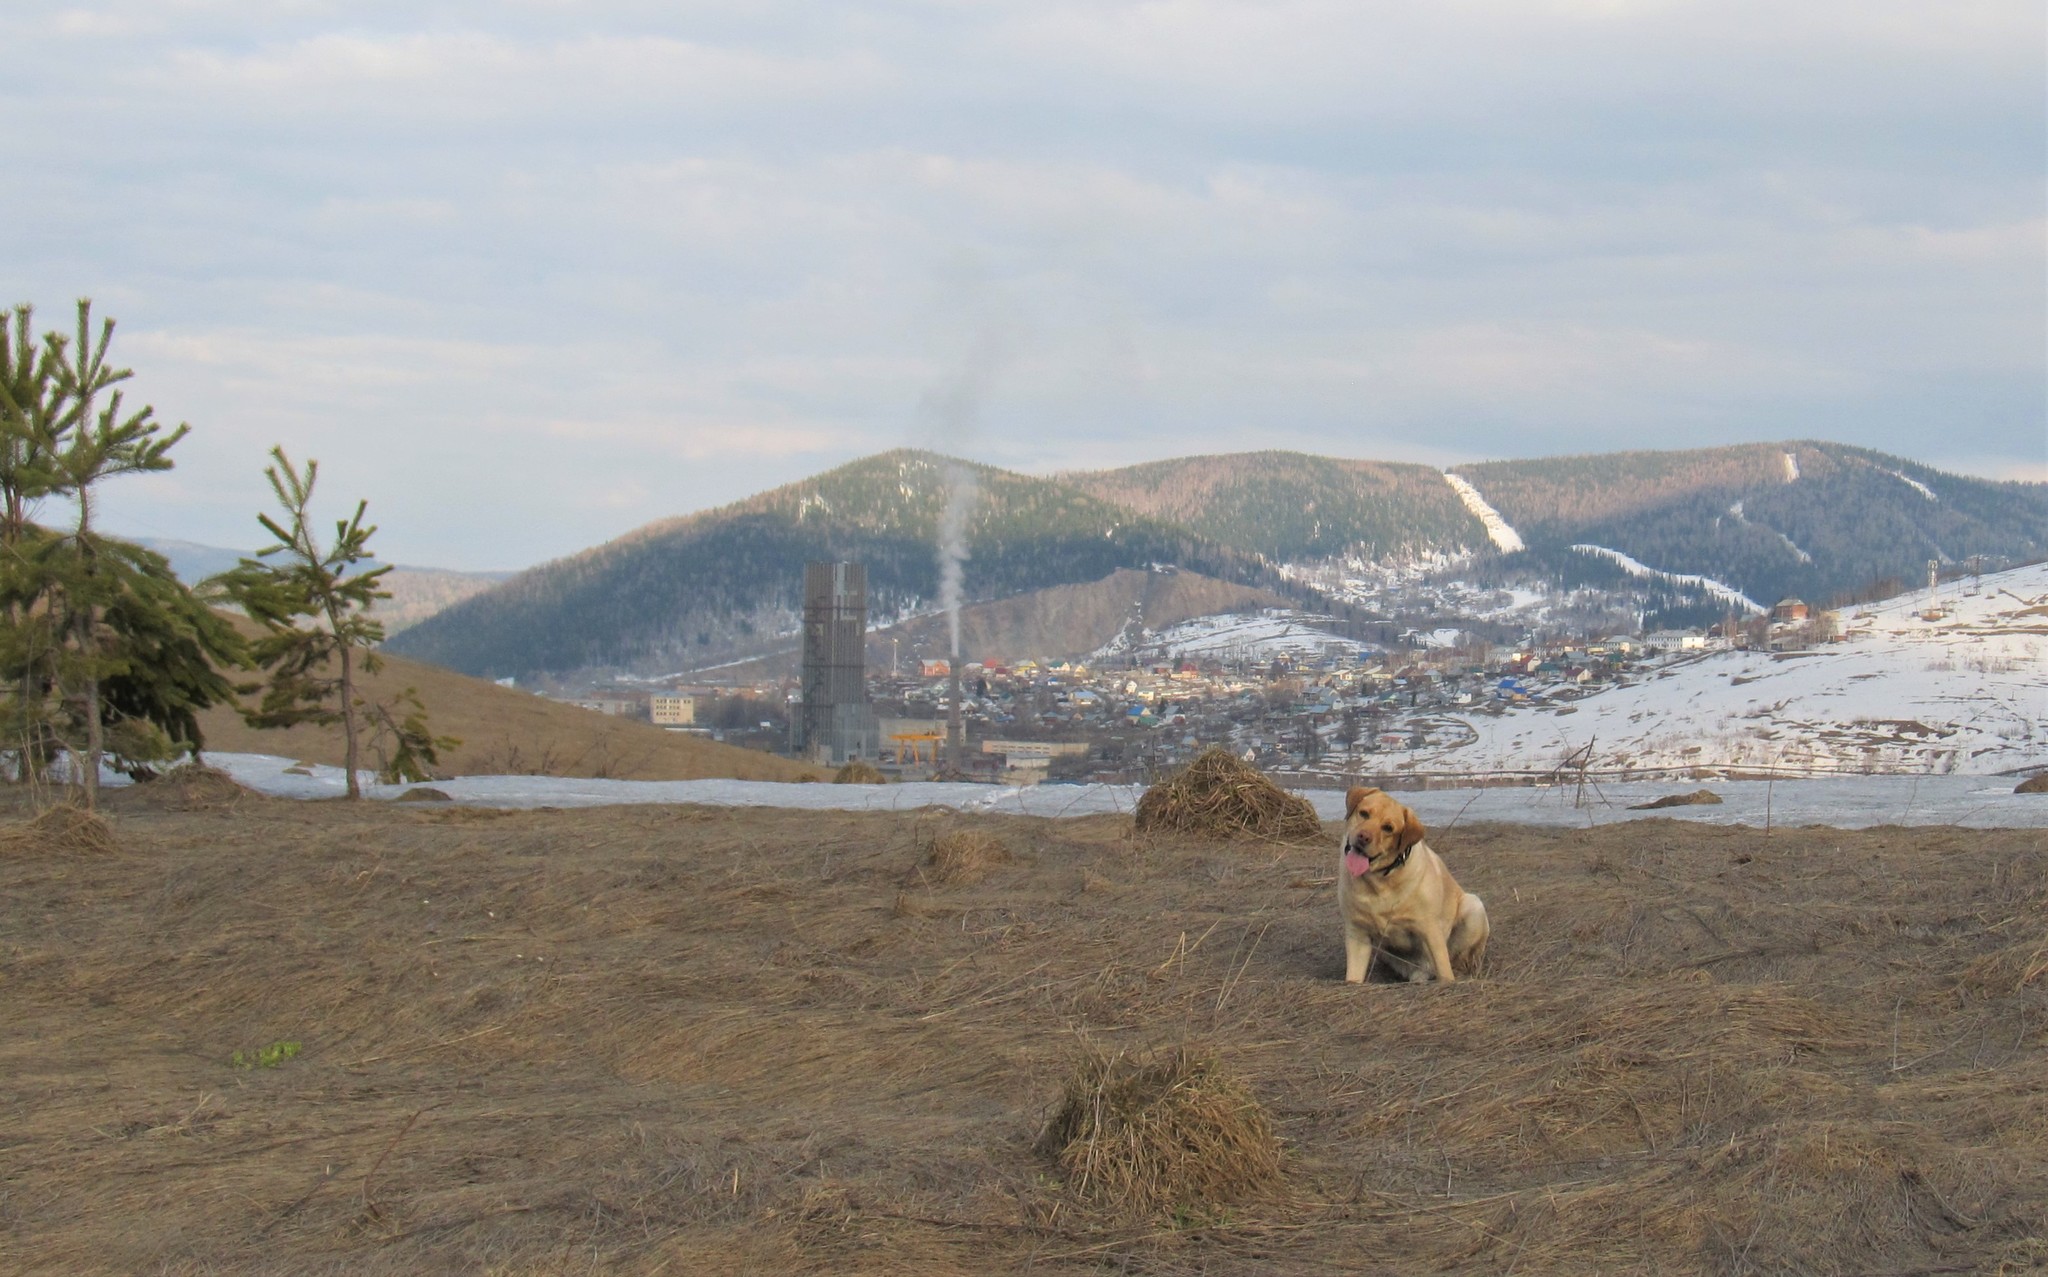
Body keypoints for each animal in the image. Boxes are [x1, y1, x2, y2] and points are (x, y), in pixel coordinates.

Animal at [1343, 781, 1490, 982]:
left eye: (1388, 828)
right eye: (1364, 813)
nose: (1363, 837)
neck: (1380, 882)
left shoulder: (1431, 930)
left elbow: (1445, 970)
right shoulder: (1357, 932)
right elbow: (1353, 976)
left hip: (1473, 906)